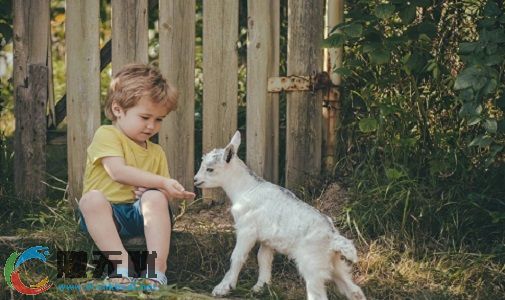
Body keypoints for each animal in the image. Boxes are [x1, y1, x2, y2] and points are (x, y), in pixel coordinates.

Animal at [194, 131, 366, 300]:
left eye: (210, 169)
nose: (195, 180)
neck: (246, 189)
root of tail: (333, 238)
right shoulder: (267, 239)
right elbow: (263, 258)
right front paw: (260, 287)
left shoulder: (247, 230)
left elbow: (238, 256)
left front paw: (223, 288)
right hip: (334, 264)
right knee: (354, 290)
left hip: (312, 264)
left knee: (318, 295)